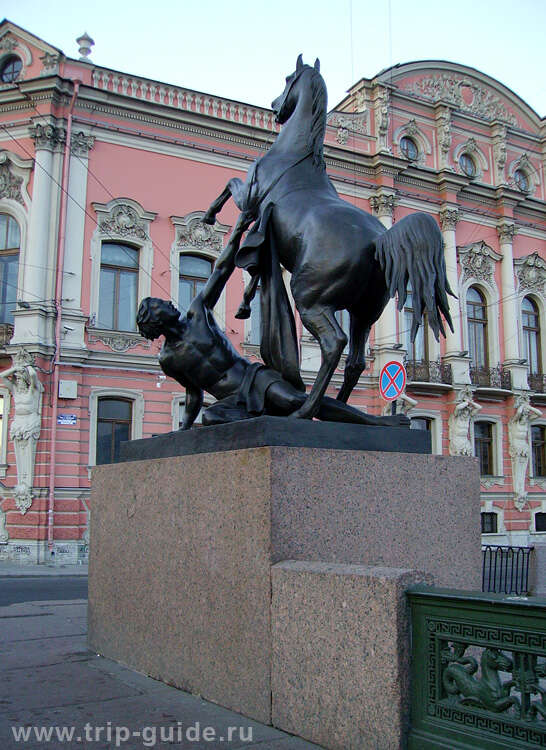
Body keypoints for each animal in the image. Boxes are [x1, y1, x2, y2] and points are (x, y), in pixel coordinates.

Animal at [202, 57, 452, 424]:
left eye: (288, 79)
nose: (275, 107)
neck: (296, 152)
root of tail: (379, 241)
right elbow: (253, 267)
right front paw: (246, 299)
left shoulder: (250, 199)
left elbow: (230, 187)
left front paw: (210, 215)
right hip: (364, 312)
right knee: (355, 362)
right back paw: (340, 411)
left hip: (310, 299)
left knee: (334, 344)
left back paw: (305, 411)